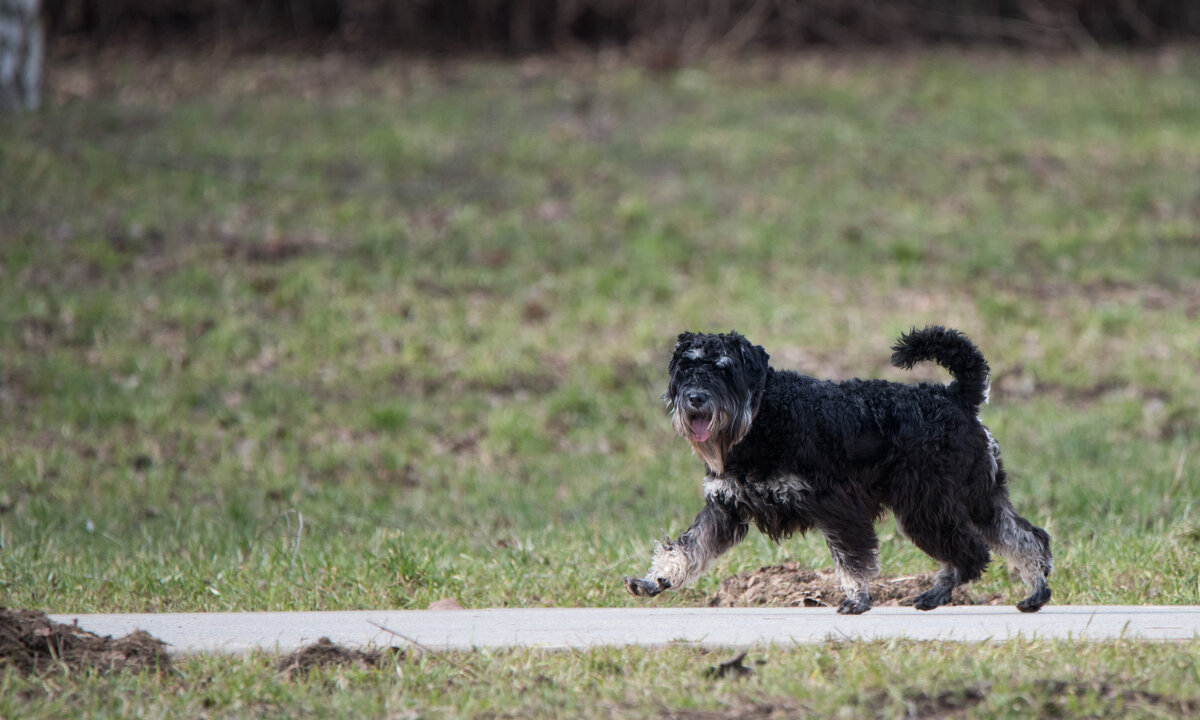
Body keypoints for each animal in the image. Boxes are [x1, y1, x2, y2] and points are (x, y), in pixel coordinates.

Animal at [624, 326, 1056, 612]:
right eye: (685, 368)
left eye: (724, 369)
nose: (695, 399)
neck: (765, 416)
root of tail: (956, 396)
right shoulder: (723, 509)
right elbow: (687, 547)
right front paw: (654, 580)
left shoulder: (838, 507)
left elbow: (853, 557)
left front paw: (857, 598)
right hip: (977, 496)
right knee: (1025, 537)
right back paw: (1035, 592)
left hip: (927, 505)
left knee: (974, 551)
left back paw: (937, 593)